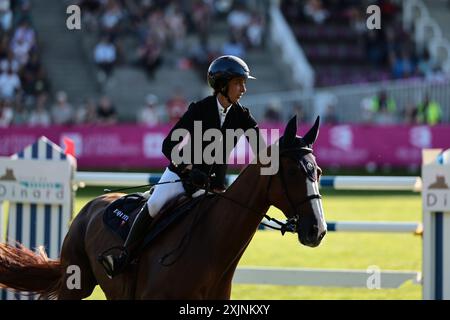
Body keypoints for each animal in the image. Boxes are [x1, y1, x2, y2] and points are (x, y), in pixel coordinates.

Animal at [0, 115, 326, 300]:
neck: (210, 246)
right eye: (293, 171)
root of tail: (91, 205)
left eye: (318, 172)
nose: (317, 230)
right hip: (75, 283)